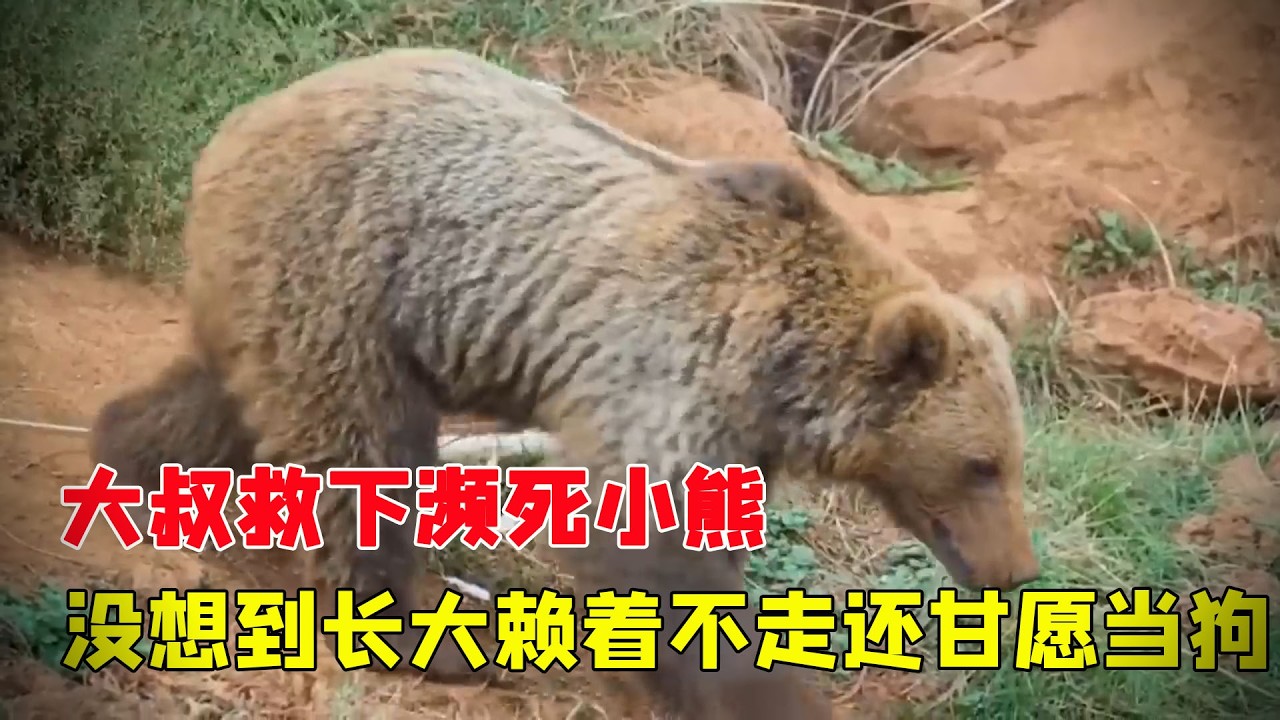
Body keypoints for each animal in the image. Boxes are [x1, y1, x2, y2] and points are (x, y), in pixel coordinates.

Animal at [90, 47, 1040, 720]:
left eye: (1009, 461)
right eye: (982, 464)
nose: (1016, 574)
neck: (778, 367)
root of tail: (242, 117)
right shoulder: (666, 365)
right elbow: (655, 552)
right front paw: (768, 695)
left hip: (295, 287)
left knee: (238, 399)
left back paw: (138, 464)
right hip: (348, 257)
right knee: (365, 449)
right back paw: (432, 634)